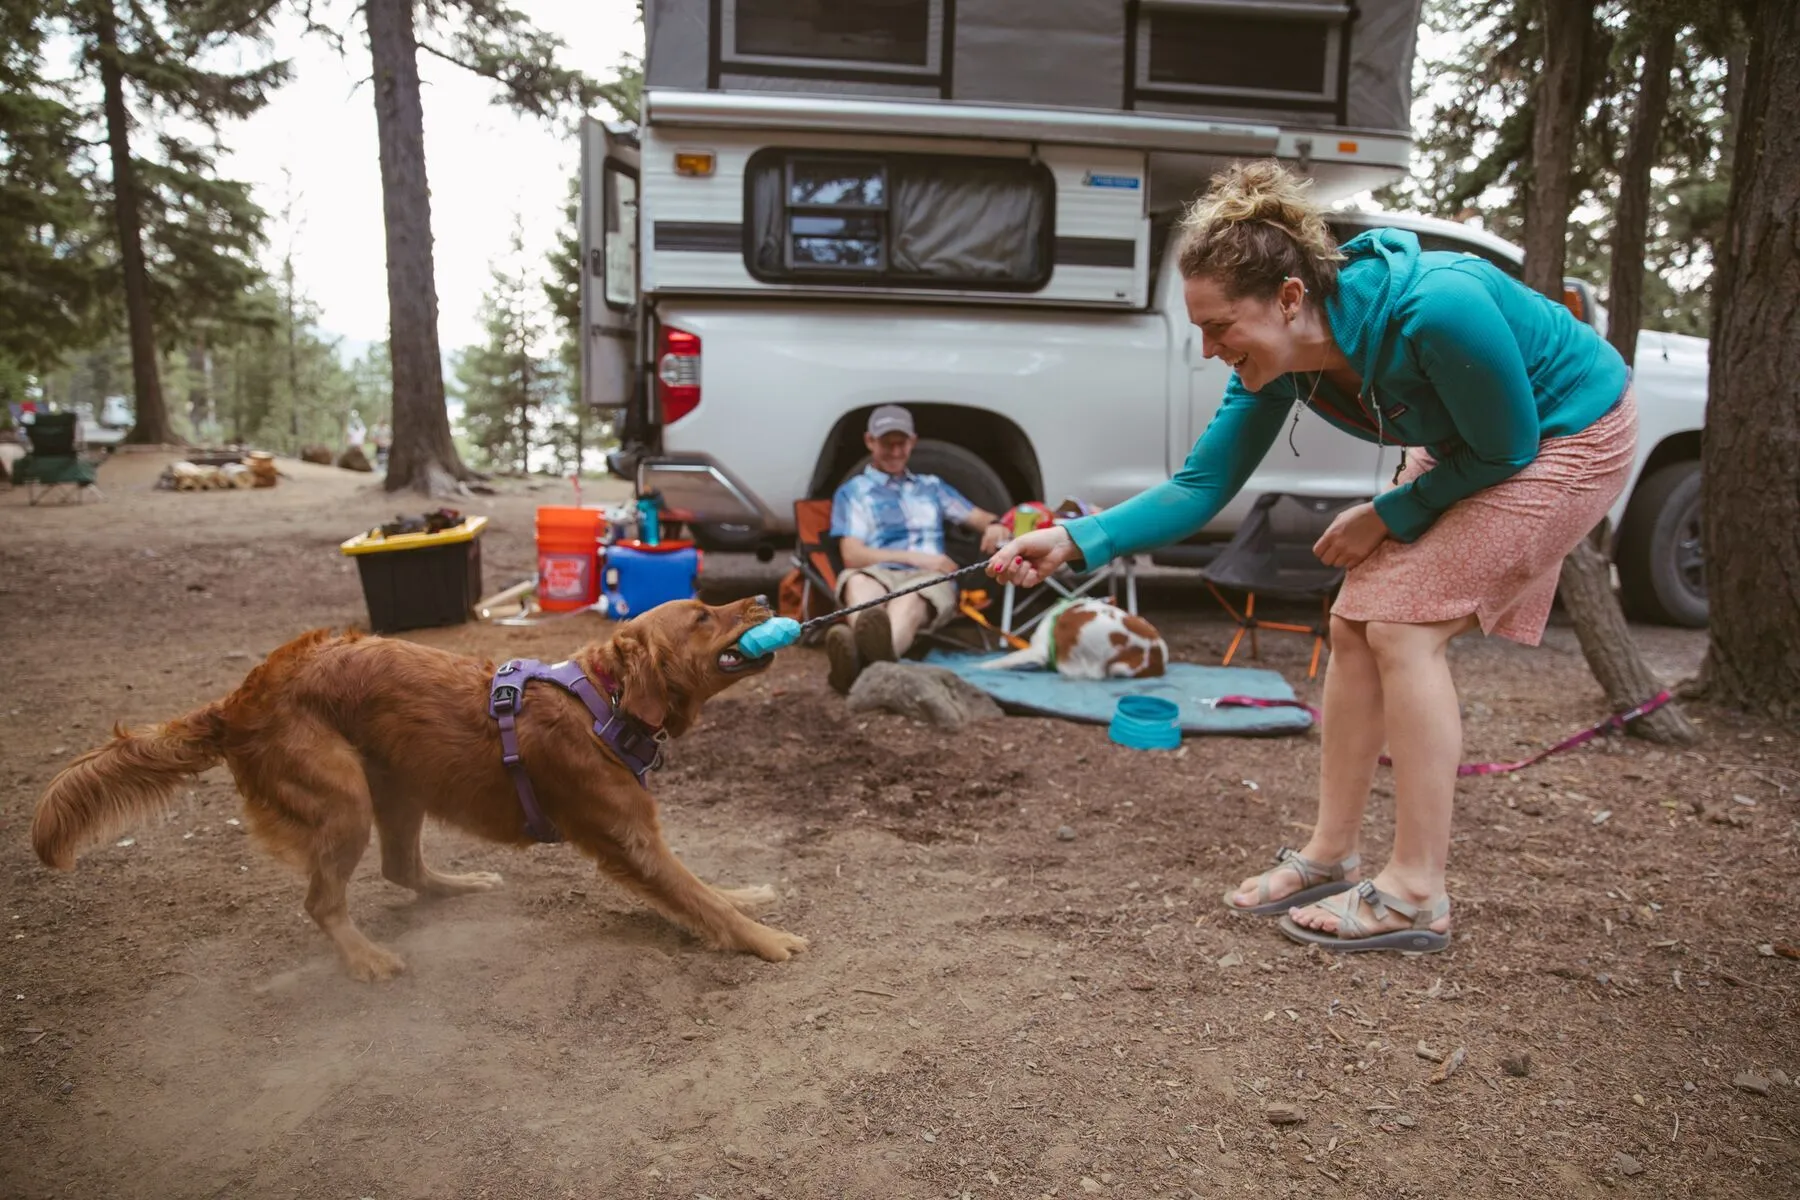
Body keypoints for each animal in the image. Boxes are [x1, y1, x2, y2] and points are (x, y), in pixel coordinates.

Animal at [24, 600, 802, 985]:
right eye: (702, 615)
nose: (768, 595)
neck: (600, 700)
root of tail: (240, 697)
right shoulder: (628, 840)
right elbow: (698, 900)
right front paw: (766, 939)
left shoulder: (643, 837)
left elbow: (707, 889)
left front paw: (750, 899)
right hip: (344, 801)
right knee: (323, 901)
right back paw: (365, 958)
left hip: (398, 787)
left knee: (402, 869)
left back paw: (463, 886)